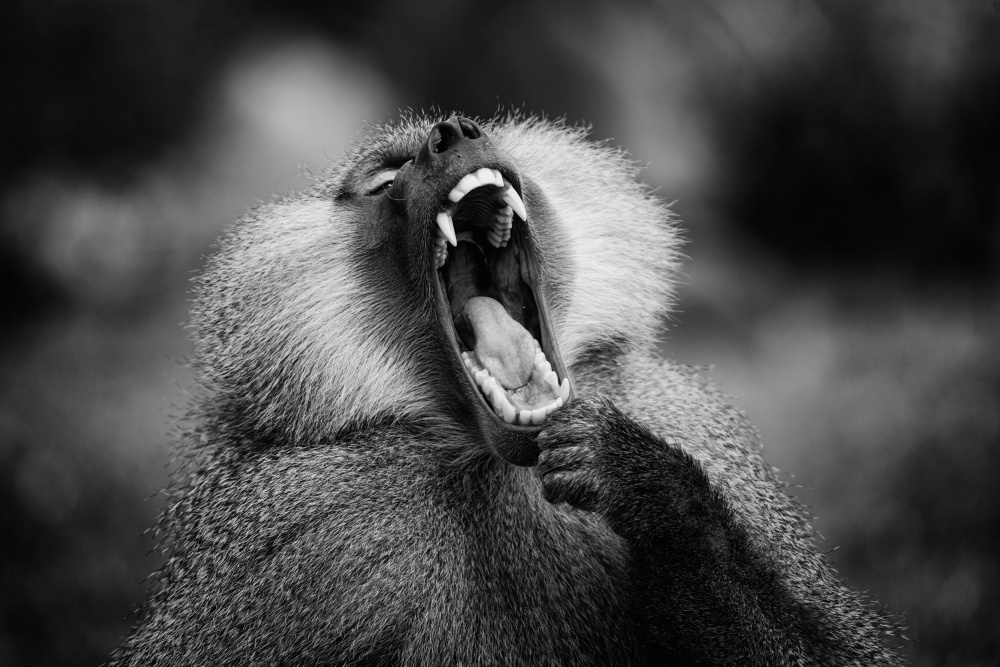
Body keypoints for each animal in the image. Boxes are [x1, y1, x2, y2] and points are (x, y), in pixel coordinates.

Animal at [109, 113, 902, 665]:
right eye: (384, 179)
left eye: (463, 132)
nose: (452, 134)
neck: (499, 467)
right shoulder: (301, 530)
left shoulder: (681, 424)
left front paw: (644, 487)